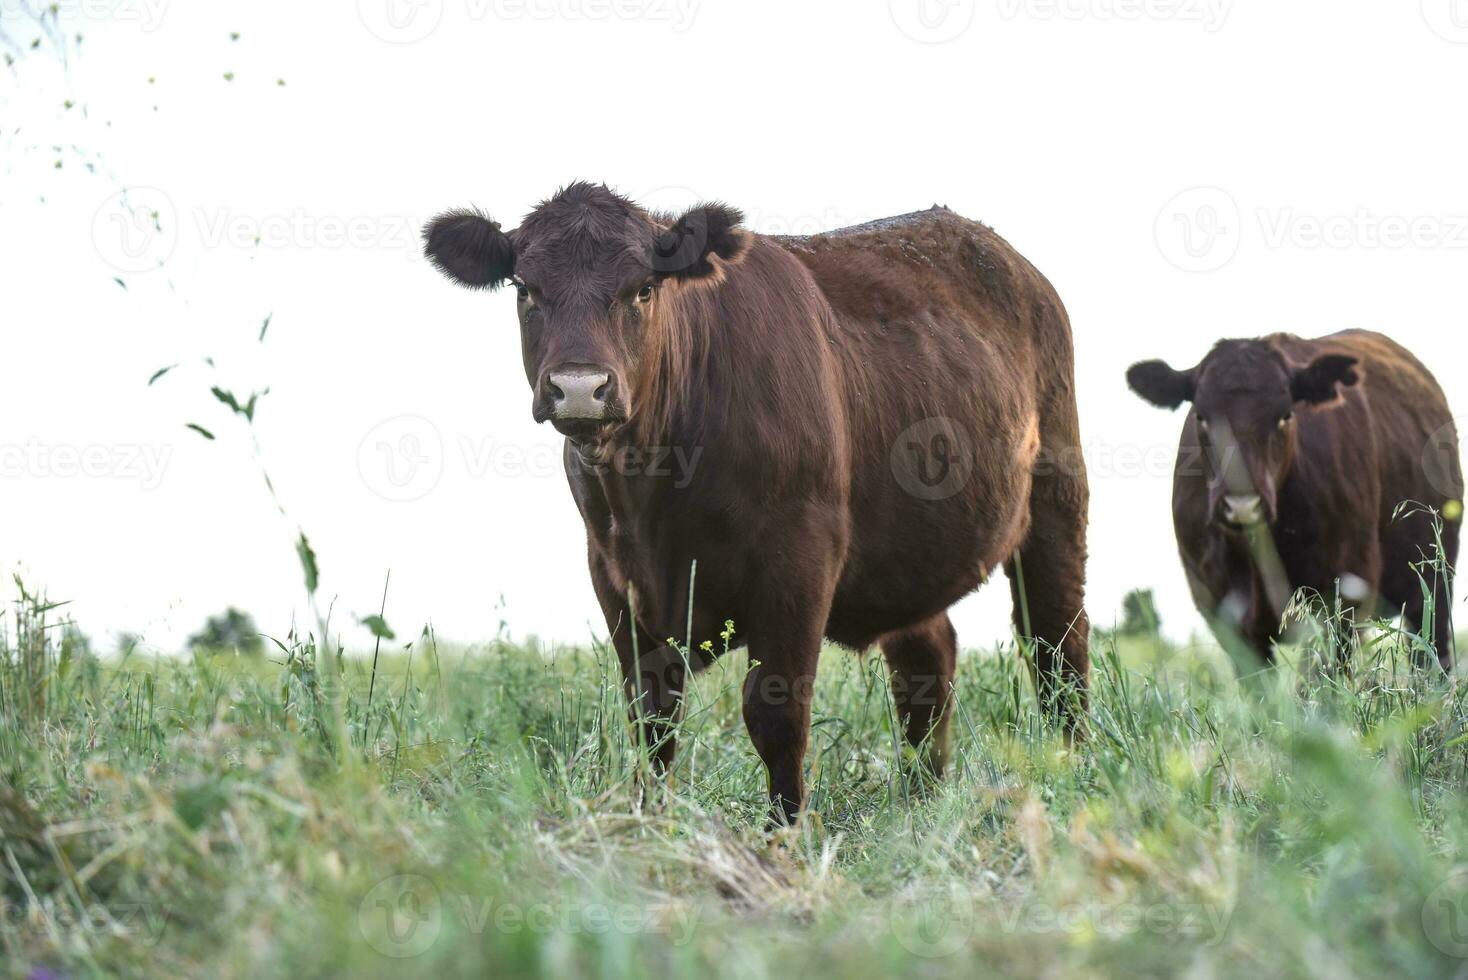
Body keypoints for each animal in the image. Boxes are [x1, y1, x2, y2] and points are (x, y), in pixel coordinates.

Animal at [425, 181, 1092, 821]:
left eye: (643, 289)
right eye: (525, 290)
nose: (581, 388)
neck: (653, 494)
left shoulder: (799, 559)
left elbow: (775, 715)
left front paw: (784, 833)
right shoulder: (612, 572)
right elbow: (652, 718)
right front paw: (649, 820)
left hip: (1058, 501)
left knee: (1058, 648)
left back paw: (1074, 774)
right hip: (913, 554)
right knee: (928, 667)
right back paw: (920, 800)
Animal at [1127, 331, 1462, 666]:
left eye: (1286, 415)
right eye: (1201, 416)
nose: (1242, 504)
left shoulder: (1340, 601)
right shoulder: (1226, 618)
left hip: (1433, 583)